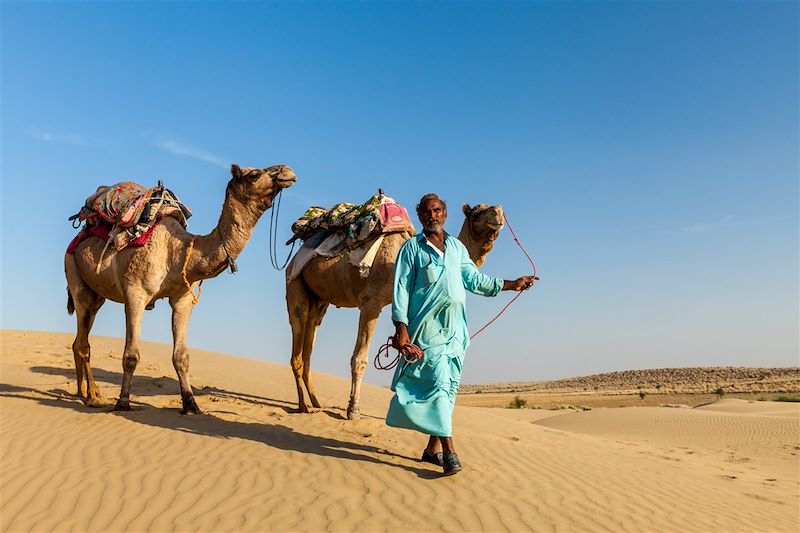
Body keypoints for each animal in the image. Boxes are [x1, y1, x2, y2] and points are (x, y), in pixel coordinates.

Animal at [65, 164, 296, 414]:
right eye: (254, 174)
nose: (288, 172)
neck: (177, 250)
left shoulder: (182, 298)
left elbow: (181, 356)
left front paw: (190, 403)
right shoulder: (135, 293)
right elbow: (131, 355)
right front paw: (123, 402)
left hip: (96, 296)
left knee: (79, 338)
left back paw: (84, 392)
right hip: (75, 274)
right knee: (83, 342)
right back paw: (93, 397)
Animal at [284, 202, 504, 418]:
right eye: (476, 213)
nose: (498, 213)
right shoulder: (371, 303)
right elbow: (359, 359)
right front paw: (353, 409)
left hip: (320, 301)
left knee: (310, 343)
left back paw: (316, 402)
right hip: (294, 282)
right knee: (298, 335)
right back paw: (304, 406)